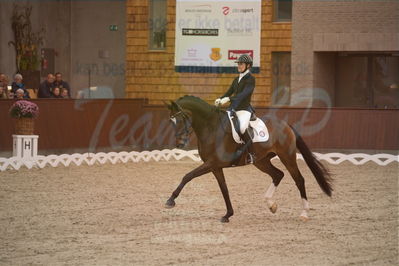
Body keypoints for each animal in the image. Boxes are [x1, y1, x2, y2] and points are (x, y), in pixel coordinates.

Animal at [164, 95, 332, 222]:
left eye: (180, 119)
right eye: (171, 121)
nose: (180, 143)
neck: (211, 127)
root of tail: (286, 125)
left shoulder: (212, 163)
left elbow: (188, 176)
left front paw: (170, 200)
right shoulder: (215, 166)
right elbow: (224, 189)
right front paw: (228, 215)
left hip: (287, 156)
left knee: (299, 180)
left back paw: (304, 213)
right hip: (261, 161)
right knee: (278, 174)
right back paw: (271, 205)